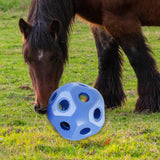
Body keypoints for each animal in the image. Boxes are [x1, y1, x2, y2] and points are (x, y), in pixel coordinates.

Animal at [19, 0, 160, 115]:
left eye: (56, 57)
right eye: (28, 59)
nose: (43, 107)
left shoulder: (122, 23)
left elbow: (139, 59)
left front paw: (148, 104)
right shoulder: (100, 25)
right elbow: (105, 58)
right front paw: (104, 100)